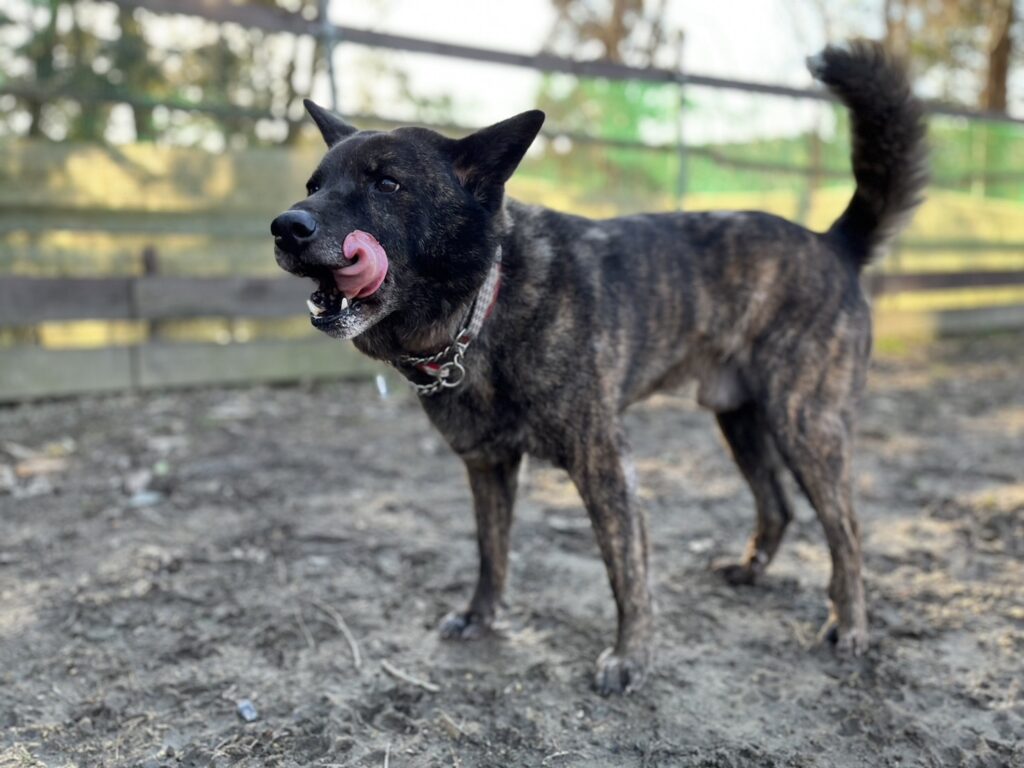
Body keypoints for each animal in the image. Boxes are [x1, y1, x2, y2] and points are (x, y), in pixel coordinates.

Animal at [271, 41, 927, 694]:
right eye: (313, 184)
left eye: (388, 183)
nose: (286, 226)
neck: (489, 301)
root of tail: (831, 242)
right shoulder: (487, 466)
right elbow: (491, 551)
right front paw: (482, 617)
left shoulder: (605, 465)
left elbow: (624, 571)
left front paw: (631, 654)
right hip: (741, 419)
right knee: (779, 505)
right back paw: (750, 572)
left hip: (806, 427)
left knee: (847, 531)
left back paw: (850, 623)